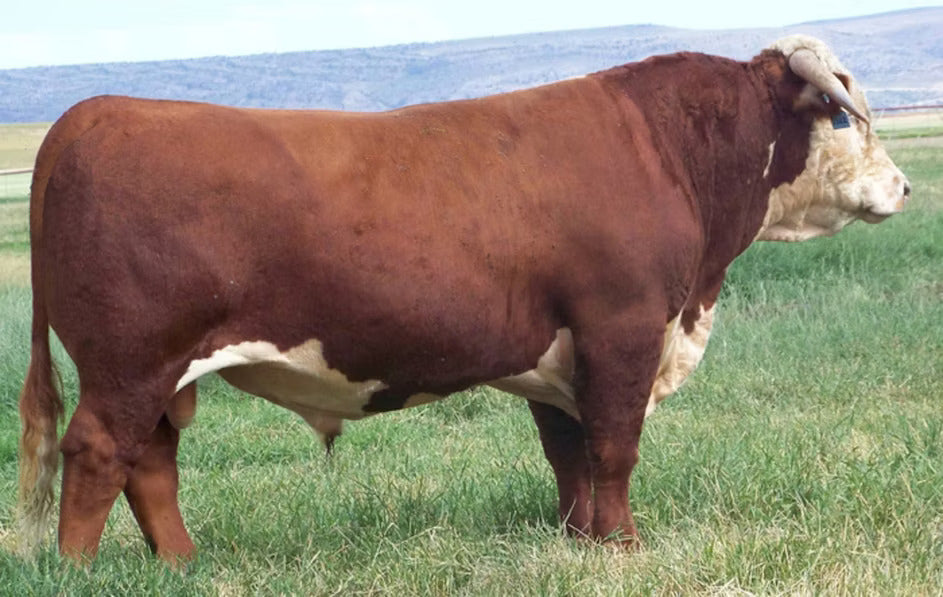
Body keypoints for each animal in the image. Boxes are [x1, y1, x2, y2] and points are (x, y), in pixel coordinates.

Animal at [16, 35, 909, 562]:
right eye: (840, 115)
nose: (902, 186)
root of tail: (91, 114)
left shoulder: (562, 351)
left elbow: (569, 450)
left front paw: (577, 538)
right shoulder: (622, 328)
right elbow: (613, 446)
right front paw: (622, 546)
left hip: (160, 369)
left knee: (151, 461)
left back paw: (183, 562)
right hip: (130, 359)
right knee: (99, 451)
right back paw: (78, 568)